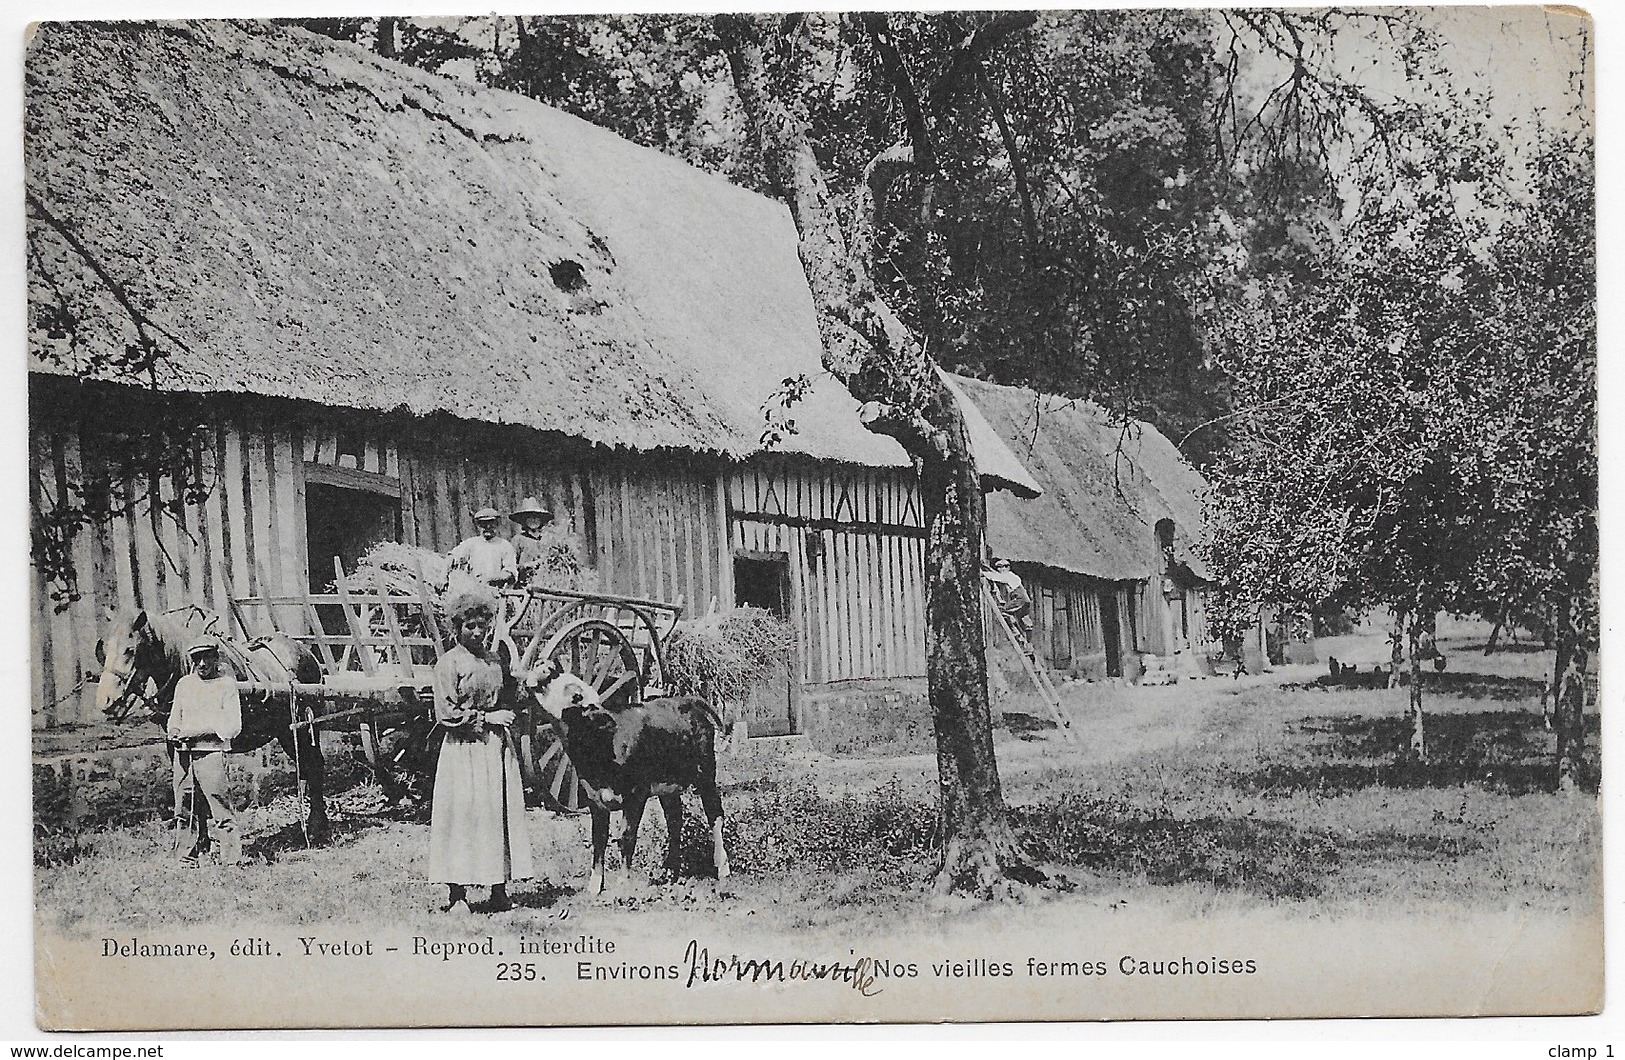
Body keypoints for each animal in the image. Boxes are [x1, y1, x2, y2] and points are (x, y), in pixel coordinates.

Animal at [529, 663, 734, 897]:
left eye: (576, 695)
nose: (547, 666)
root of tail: (686, 700)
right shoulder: (594, 798)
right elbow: (599, 840)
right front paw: (594, 887)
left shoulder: (636, 793)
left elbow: (626, 837)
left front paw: (623, 883)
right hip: (668, 786)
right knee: (675, 820)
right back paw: (670, 872)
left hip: (705, 772)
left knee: (715, 815)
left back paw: (722, 868)